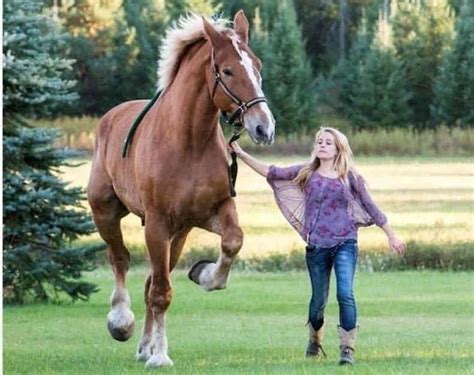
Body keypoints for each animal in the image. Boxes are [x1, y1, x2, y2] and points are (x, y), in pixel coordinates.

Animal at [87, 11, 276, 370]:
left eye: (258, 66)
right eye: (227, 70)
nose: (264, 127)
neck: (188, 142)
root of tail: (110, 117)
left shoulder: (212, 212)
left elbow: (233, 242)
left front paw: (206, 275)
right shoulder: (158, 224)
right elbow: (161, 293)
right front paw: (160, 356)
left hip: (178, 235)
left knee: (150, 280)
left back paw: (144, 346)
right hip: (106, 212)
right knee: (120, 259)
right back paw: (121, 322)